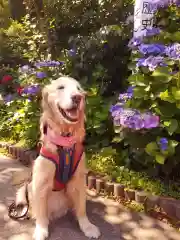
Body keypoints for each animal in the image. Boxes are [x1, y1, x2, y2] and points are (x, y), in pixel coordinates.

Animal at [13, 77, 100, 240]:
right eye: (61, 87)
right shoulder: (40, 181)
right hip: (27, 188)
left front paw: (87, 227)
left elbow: (82, 209)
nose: (77, 97)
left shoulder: (79, 179)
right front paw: (41, 229)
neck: (64, 142)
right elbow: (41, 211)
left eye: (79, 89)